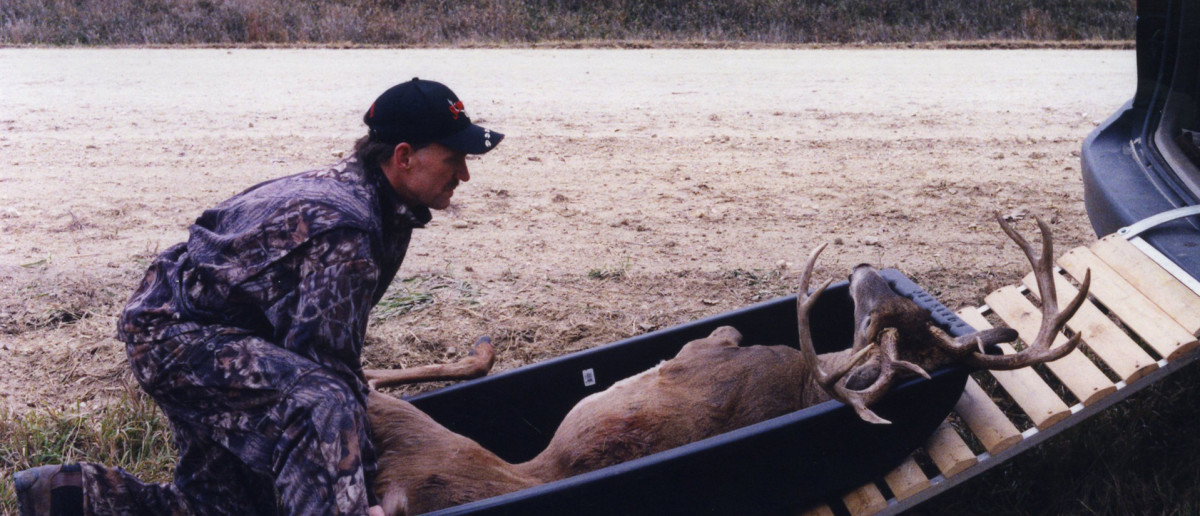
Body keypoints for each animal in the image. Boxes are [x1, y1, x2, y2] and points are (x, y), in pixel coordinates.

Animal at [364, 212, 1089, 511]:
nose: (863, 264)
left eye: (870, 316)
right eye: (897, 315)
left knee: (369, 377)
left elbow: (721, 331)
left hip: (412, 427)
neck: (807, 383)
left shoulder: (712, 344)